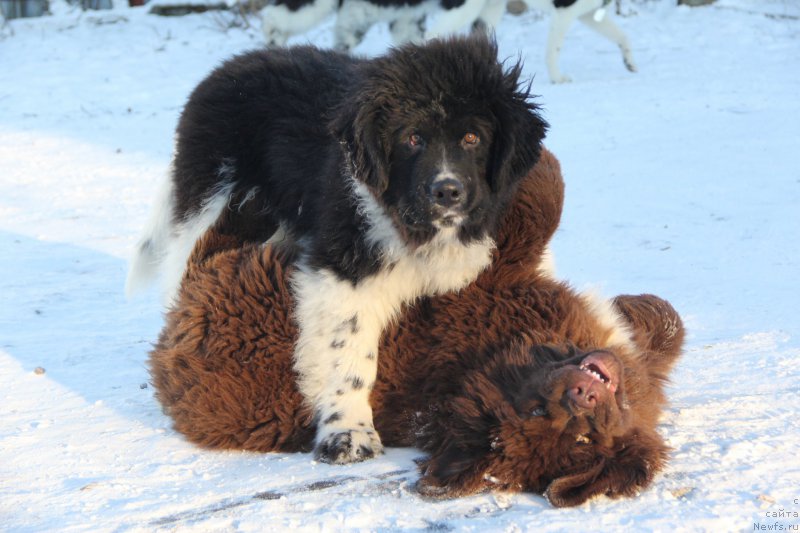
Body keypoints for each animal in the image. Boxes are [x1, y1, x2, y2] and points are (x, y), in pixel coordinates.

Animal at [126, 35, 552, 464]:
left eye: (472, 138)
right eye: (412, 139)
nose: (447, 192)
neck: (418, 229)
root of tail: (231, 66)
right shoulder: (342, 270)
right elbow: (348, 354)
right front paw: (348, 433)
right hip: (208, 202)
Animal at [148, 149, 680, 508]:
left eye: (585, 439)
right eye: (535, 410)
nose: (583, 396)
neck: (489, 357)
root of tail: (167, 359)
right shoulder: (499, 270)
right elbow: (543, 203)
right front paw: (640, 308)